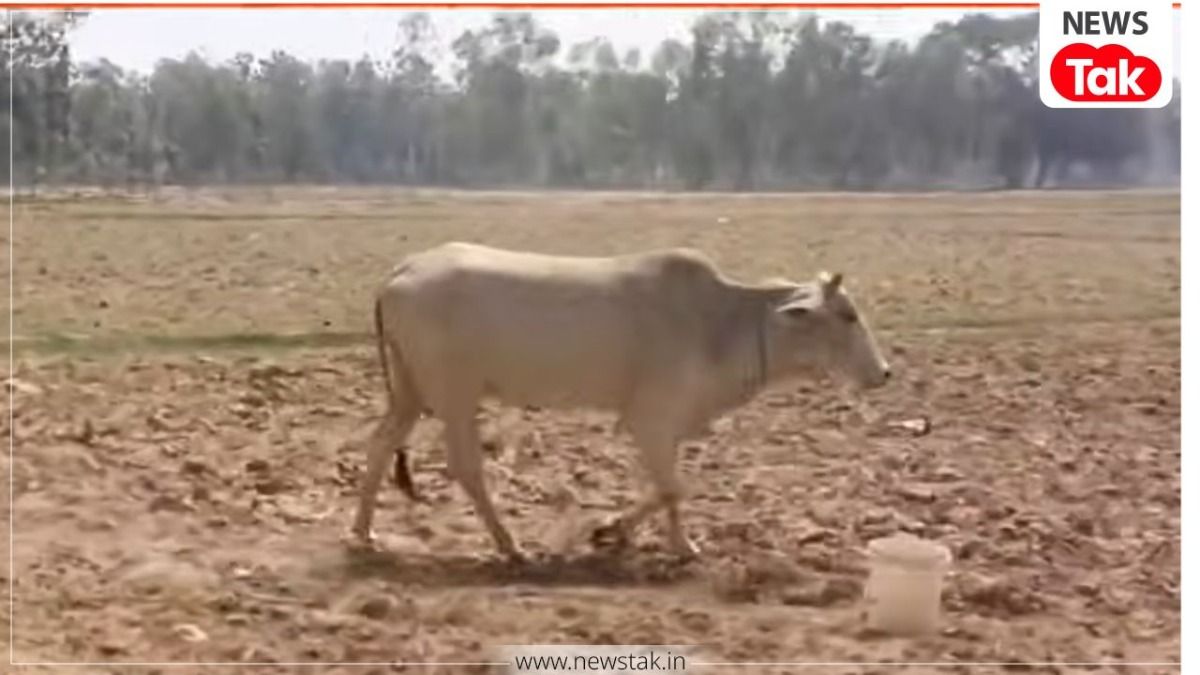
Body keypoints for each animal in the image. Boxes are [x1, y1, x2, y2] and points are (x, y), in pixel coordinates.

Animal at [350, 242, 891, 561]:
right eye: (846, 315)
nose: (883, 373)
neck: (721, 323)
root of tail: (402, 271)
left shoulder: (668, 423)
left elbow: (667, 488)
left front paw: (663, 542)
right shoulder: (648, 419)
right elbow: (673, 487)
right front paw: (621, 532)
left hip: (410, 391)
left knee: (380, 446)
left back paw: (363, 533)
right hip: (454, 394)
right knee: (466, 467)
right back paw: (510, 545)